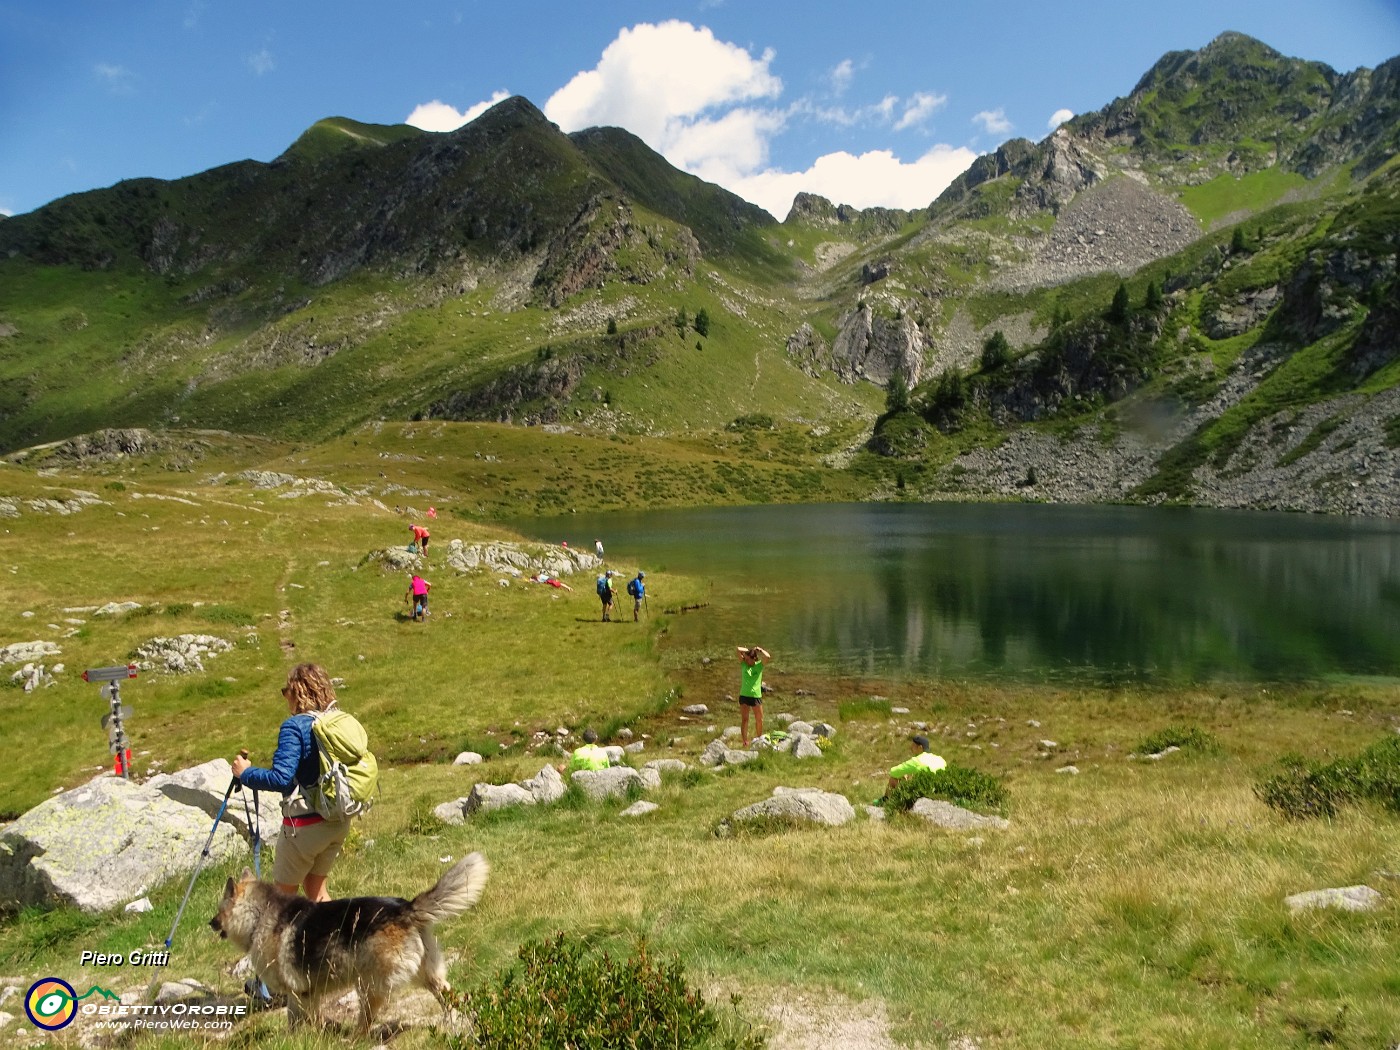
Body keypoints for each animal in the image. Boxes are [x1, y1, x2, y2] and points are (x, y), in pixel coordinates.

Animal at [208, 856, 487, 1036]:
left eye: (219, 909)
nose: (210, 922)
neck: (257, 917)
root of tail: (405, 909)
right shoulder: (309, 992)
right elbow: (308, 1018)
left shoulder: (298, 993)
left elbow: (297, 1020)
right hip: (428, 975)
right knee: (450, 997)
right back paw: (457, 1021)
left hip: (368, 984)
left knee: (367, 1020)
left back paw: (354, 1039)